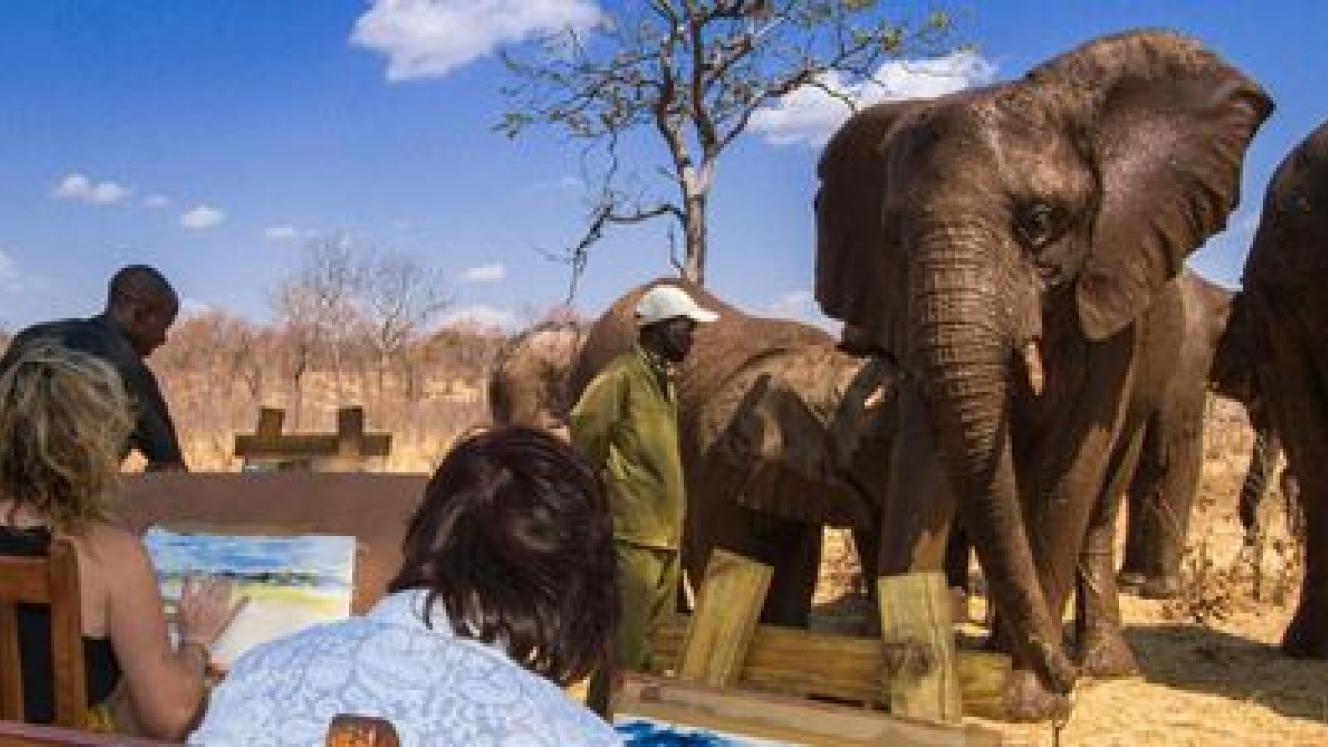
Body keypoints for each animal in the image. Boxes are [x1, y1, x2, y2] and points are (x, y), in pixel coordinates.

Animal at [814, 29, 1271, 718]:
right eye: (894, 237)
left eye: (1038, 222)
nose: (1063, 680)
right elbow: (924, 459)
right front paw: (892, 697)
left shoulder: (1111, 296)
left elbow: (1069, 470)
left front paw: (1031, 702)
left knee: (1099, 503)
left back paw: (1101, 666)